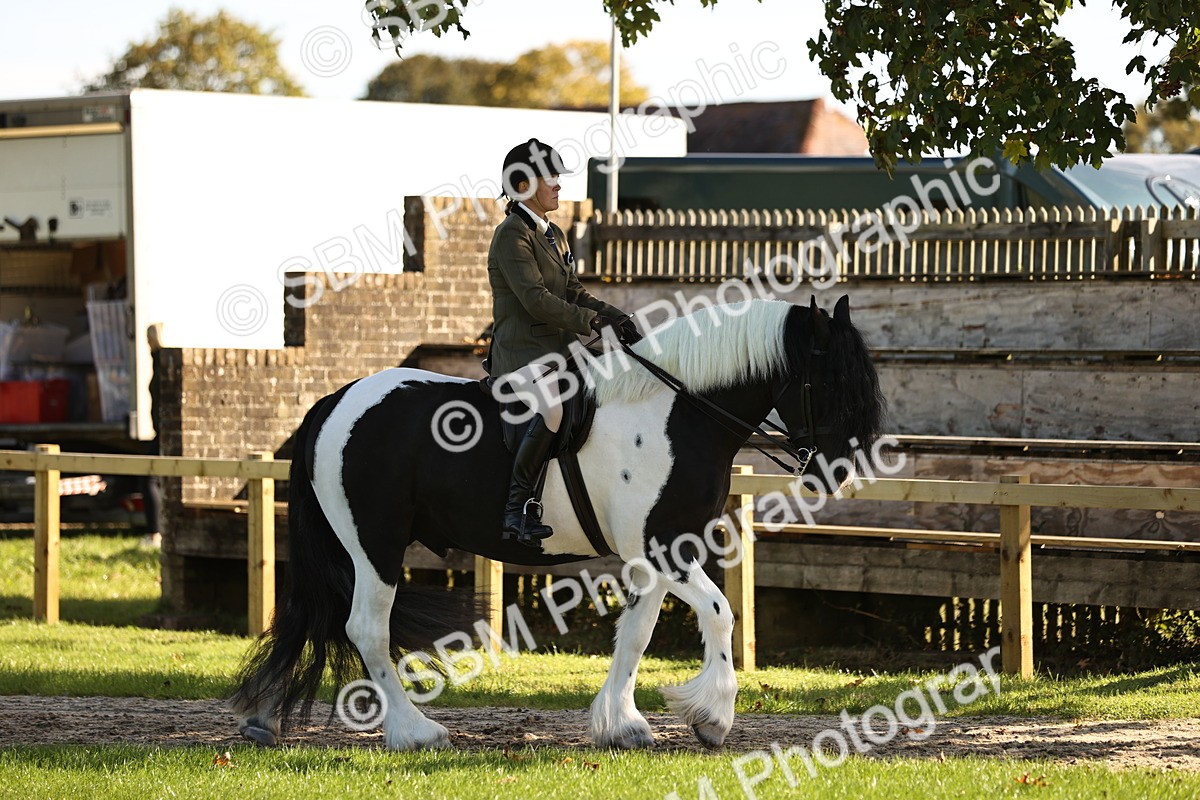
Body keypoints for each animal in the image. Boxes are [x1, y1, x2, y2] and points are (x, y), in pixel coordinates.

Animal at [230, 295, 885, 751]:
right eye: (832, 383)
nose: (839, 472)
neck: (677, 413)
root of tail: (334, 402)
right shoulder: (666, 548)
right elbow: (720, 614)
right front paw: (713, 718)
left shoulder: (655, 555)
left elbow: (636, 633)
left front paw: (621, 725)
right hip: (376, 546)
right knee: (366, 628)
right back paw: (415, 732)